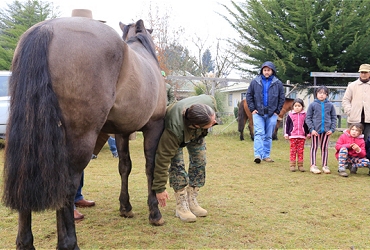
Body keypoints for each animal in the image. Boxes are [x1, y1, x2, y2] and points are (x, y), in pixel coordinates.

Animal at [3, 18, 165, 249]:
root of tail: (46, 28)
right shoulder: (154, 125)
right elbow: (150, 167)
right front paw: (155, 213)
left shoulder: (122, 132)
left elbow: (124, 167)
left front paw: (125, 207)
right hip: (80, 142)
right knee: (67, 187)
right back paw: (69, 243)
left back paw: (25, 243)